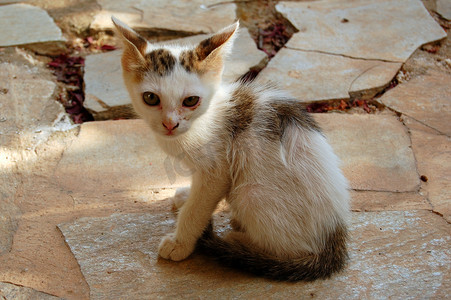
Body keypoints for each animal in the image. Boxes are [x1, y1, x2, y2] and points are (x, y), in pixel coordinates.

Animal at [114, 17, 354, 282]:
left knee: (289, 249)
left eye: (190, 100)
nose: (169, 124)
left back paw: (238, 241)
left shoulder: (218, 171)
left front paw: (180, 242)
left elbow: (197, 209)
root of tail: (335, 238)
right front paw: (186, 196)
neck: (201, 122)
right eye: (150, 98)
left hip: (249, 193)